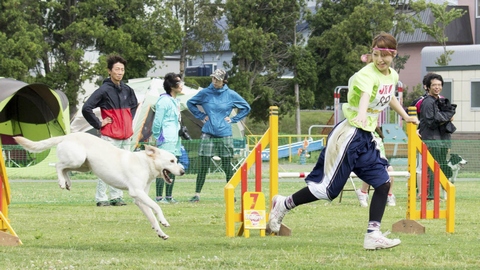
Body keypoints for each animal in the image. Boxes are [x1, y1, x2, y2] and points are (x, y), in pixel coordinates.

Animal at [12, 132, 186, 239]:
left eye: (176, 160)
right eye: (172, 161)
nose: (183, 171)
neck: (146, 164)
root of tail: (67, 135)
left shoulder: (139, 200)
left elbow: (151, 217)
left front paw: (160, 232)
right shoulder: (137, 192)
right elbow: (157, 207)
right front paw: (164, 221)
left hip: (83, 165)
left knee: (65, 169)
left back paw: (67, 182)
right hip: (77, 159)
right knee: (58, 165)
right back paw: (62, 182)